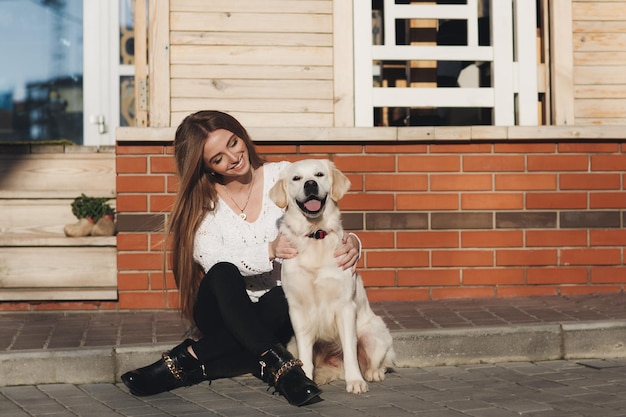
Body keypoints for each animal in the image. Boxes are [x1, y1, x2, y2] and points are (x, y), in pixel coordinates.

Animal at [268, 158, 394, 392]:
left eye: (319, 174)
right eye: (296, 178)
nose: (310, 184)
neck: (315, 234)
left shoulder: (345, 307)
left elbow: (350, 352)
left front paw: (355, 382)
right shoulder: (298, 310)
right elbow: (306, 357)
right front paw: (306, 379)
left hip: (374, 334)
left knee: (377, 361)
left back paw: (372, 373)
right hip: (292, 342)